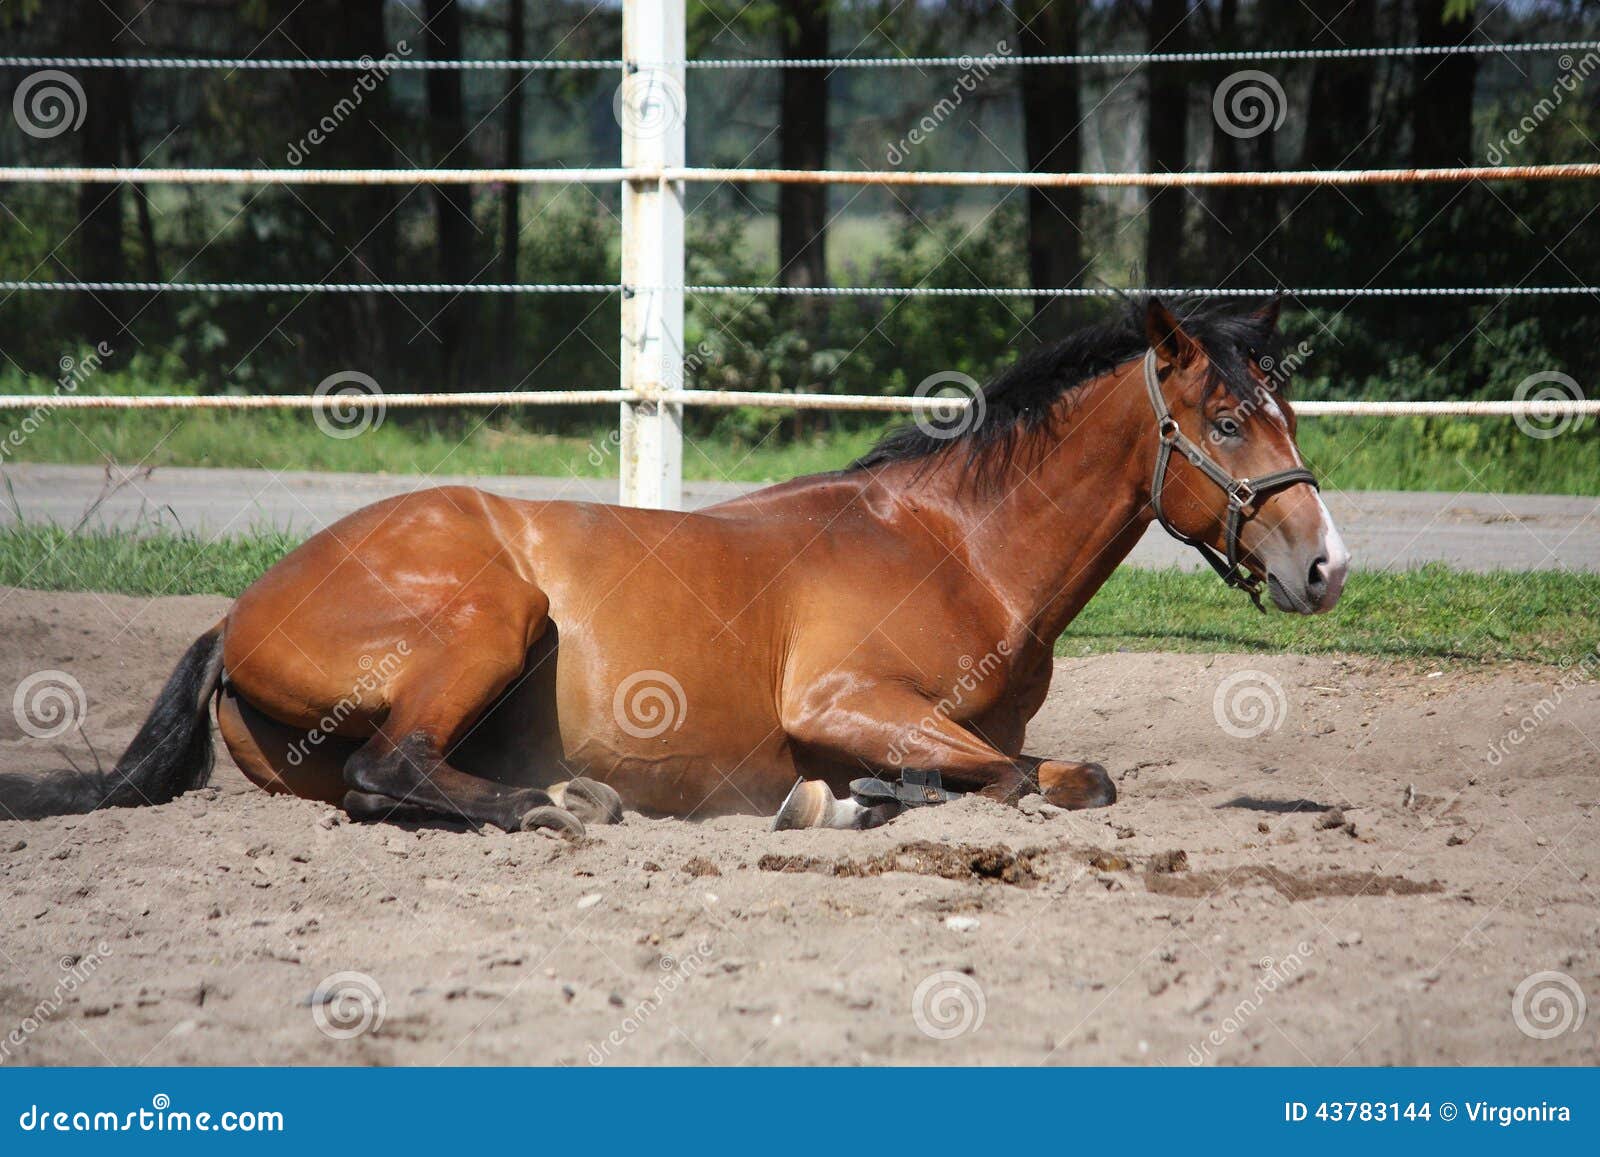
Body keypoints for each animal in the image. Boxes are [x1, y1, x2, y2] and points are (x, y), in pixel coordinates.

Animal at [1, 298, 1348, 835]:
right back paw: (559, 803)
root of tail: (240, 613)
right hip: (490, 619)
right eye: (1228, 421)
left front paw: (863, 797)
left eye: (1284, 407)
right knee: (395, 772)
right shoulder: (844, 701)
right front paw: (846, 799)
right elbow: (1025, 778)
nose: (1325, 564)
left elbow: (1048, 772)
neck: (954, 547)